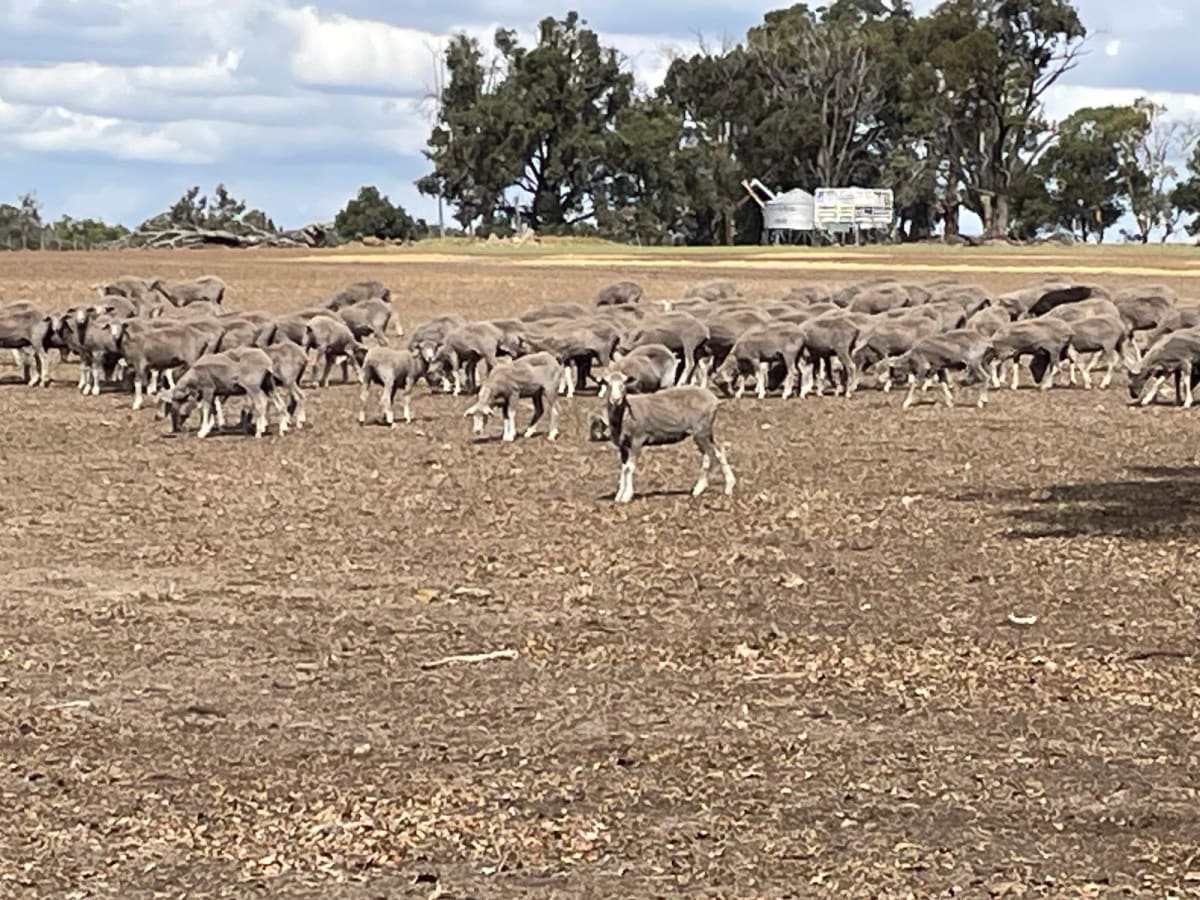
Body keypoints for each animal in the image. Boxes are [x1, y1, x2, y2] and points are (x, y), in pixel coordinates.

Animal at [600, 370, 734, 503]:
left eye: (623, 384)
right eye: (608, 384)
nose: (616, 399)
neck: (623, 415)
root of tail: (714, 399)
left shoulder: (637, 440)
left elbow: (629, 468)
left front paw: (627, 496)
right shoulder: (622, 446)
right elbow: (623, 468)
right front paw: (619, 495)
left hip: (701, 431)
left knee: (710, 455)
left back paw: (700, 488)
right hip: (707, 431)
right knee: (718, 452)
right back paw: (728, 486)